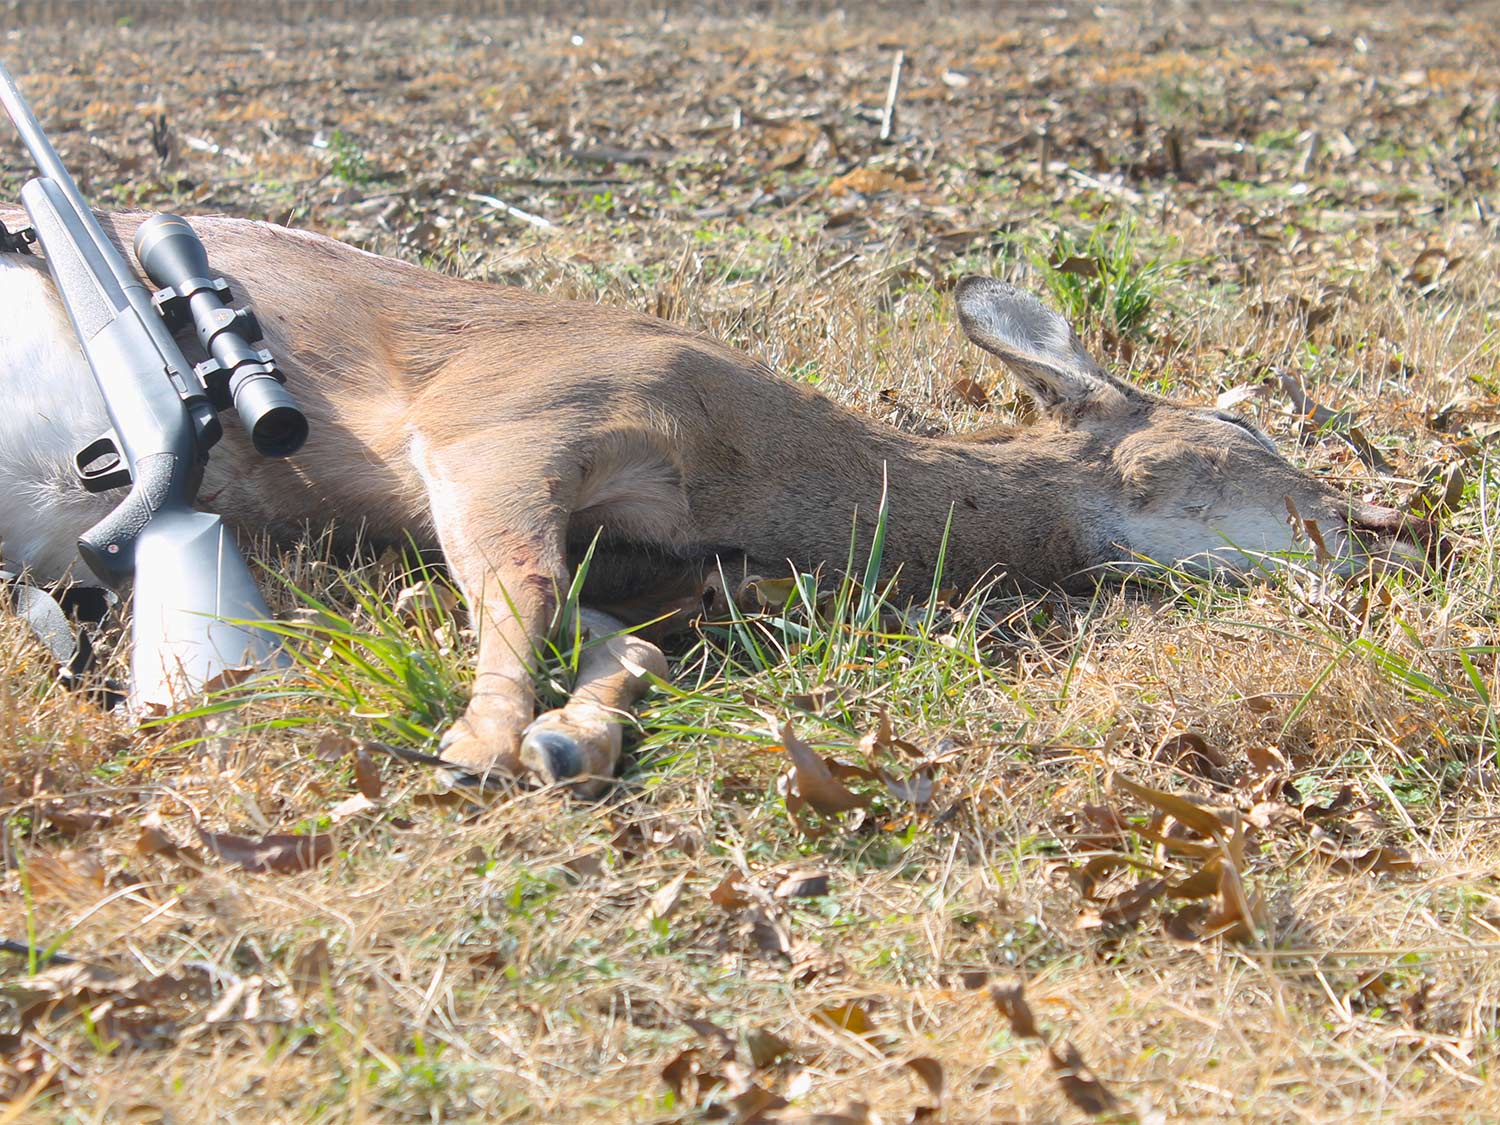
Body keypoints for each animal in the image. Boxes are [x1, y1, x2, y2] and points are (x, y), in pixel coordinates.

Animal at [0, 210, 1428, 792]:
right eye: (1245, 425)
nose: (1381, 532)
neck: (745, 463)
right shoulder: (501, 423)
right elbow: (522, 586)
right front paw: (482, 739)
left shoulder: (643, 553)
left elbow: (625, 642)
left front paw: (570, 742)